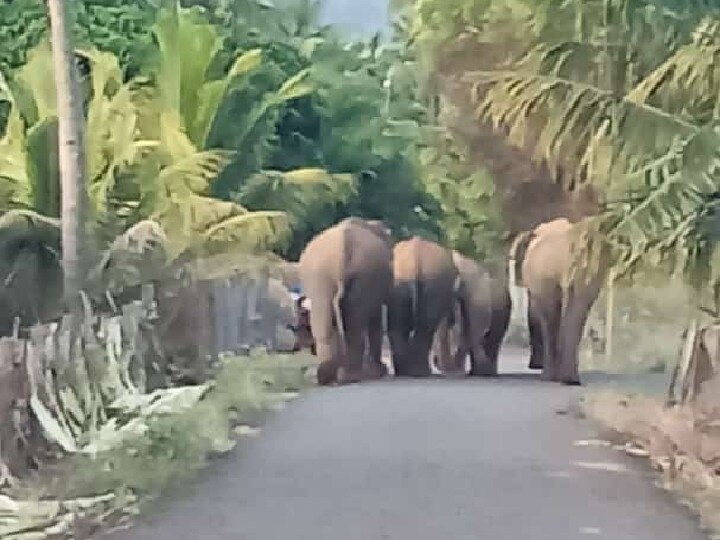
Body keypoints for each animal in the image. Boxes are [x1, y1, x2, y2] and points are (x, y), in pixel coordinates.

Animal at [296, 215, 390, 384]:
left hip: (326, 277)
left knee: (327, 325)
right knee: (351, 326)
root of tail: (343, 250)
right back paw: (348, 376)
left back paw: (330, 376)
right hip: (350, 275)